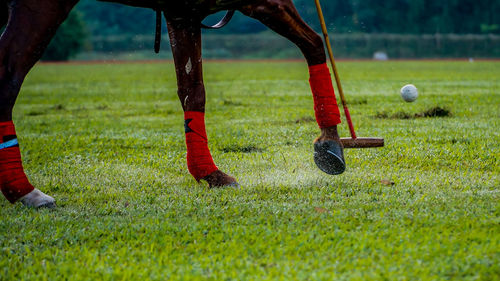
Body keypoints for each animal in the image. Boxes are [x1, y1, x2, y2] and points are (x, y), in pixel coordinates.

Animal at [0, 0, 344, 207]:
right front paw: (330, 144)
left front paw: (209, 173)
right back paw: (24, 190)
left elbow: (193, 91)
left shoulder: (183, 12)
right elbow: (314, 44)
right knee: (8, 78)